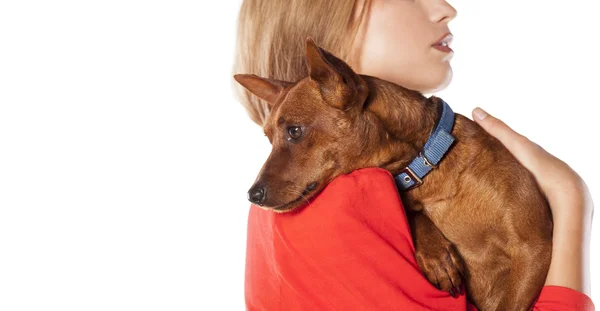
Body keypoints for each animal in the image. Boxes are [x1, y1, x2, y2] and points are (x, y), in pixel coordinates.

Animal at [232, 37, 552, 310]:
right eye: (268, 138)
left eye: (295, 131)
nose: (252, 195)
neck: (427, 169)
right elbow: (413, 212)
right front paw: (437, 255)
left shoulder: (533, 247)